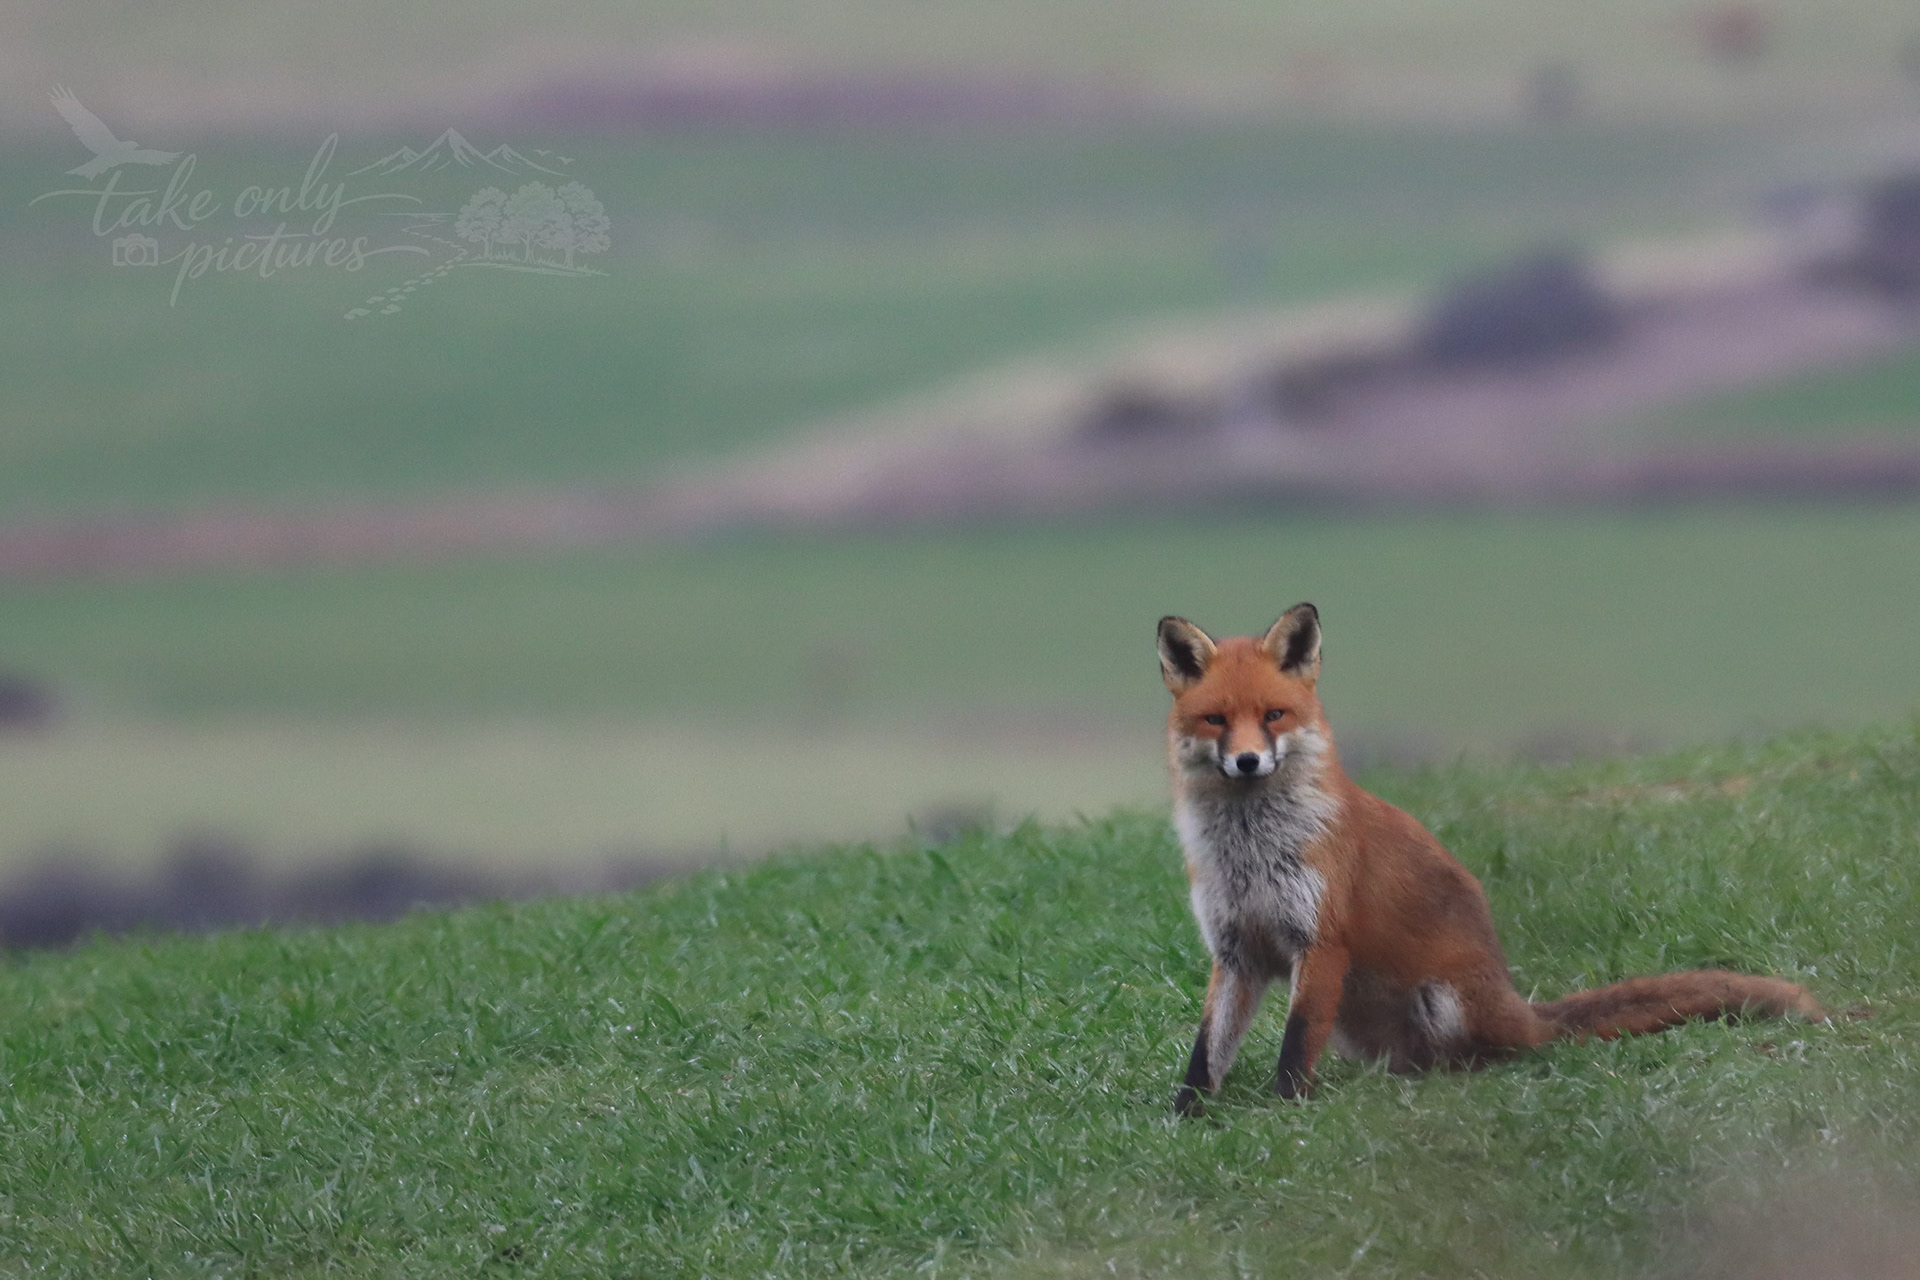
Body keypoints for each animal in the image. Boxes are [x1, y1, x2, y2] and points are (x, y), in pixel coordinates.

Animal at [1158, 603, 1823, 1115]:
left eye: (1273, 715)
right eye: (1216, 720)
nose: (1248, 761)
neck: (1250, 851)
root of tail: (1520, 1006)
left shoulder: (1321, 940)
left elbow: (1295, 1046)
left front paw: (1287, 1112)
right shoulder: (1236, 952)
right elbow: (1206, 1049)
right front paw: (1186, 1115)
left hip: (1443, 1001)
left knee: (1504, 1054)